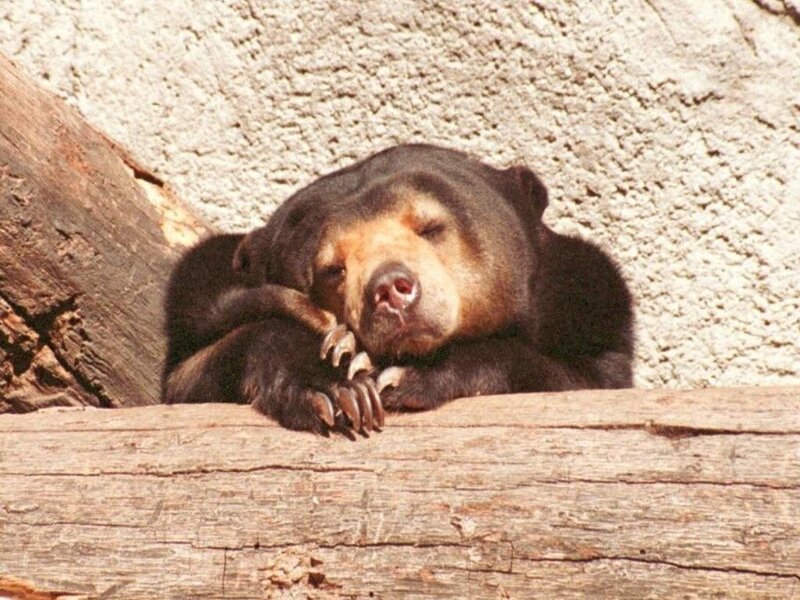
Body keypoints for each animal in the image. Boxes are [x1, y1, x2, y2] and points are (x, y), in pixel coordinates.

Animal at [162, 143, 634, 436]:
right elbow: (191, 376)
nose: (390, 288)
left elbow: (581, 379)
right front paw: (339, 382)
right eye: (332, 269)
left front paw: (401, 374)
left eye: (430, 227)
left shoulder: (588, 306)